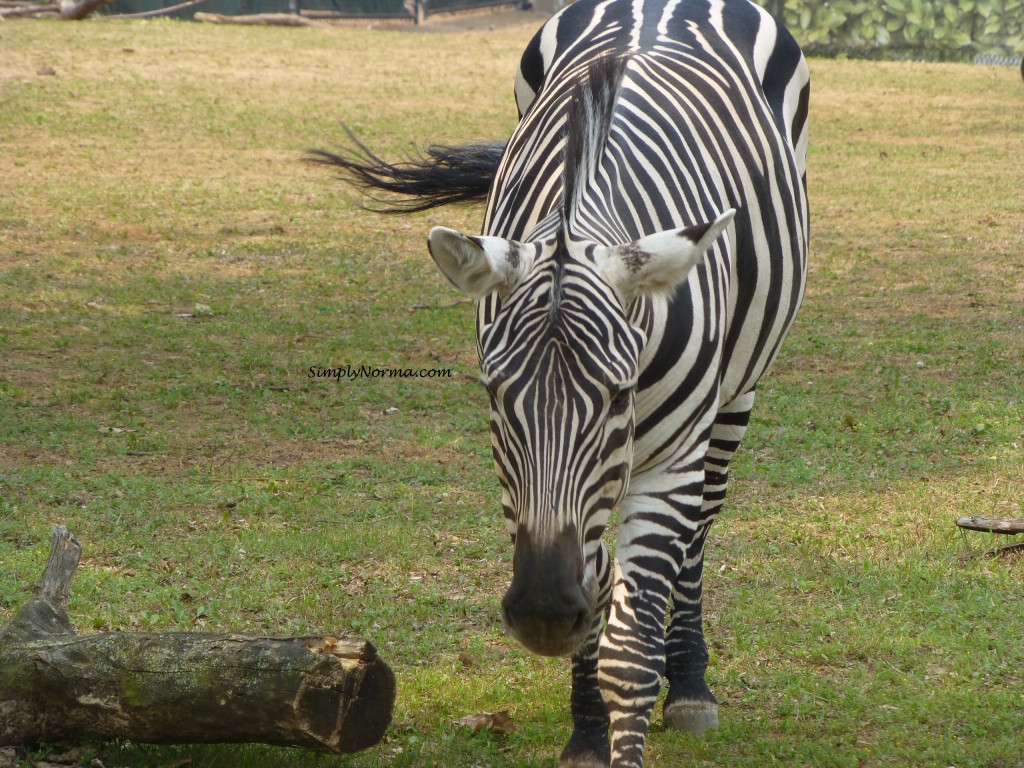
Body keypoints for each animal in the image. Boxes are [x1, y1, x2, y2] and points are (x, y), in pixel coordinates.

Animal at [311, 0, 806, 765]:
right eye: (494, 396)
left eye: (618, 395)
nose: (543, 615)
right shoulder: (540, 494)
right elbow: (596, 608)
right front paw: (587, 732)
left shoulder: (666, 462)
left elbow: (629, 652)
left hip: (735, 396)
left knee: (702, 525)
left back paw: (691, 683)